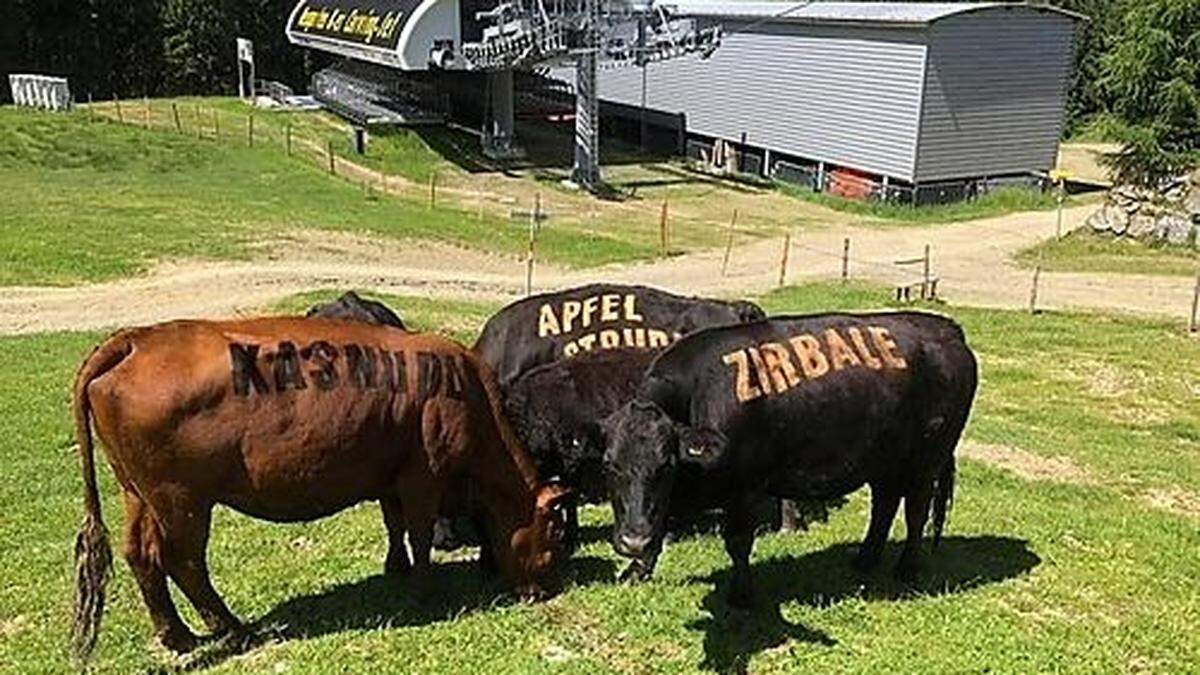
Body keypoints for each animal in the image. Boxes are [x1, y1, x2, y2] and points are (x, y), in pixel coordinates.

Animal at [69, 317, 571, 658]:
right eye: (556, 532)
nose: (545, 589)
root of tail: (137, 339)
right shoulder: (422, 477)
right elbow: (419, 534)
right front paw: (426, 590)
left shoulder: (390, 477)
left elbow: (394, 526)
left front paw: (396, 570)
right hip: (182, 498)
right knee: (184, 561)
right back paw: (233, 628)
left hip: (138, 492)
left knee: (142, 555)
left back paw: (178, 635)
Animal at [604, 312, 979, 605]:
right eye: (610, 464)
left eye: (666, 463)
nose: (632, 542)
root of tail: (944, 327)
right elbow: (659, 522)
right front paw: (636, 569)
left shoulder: (746, 486)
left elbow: (738, 543)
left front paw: (741, 595)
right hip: (883, 459)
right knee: (884, 504)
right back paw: (865, 559)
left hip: (927, 459)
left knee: (916, 511)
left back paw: (907, 568)